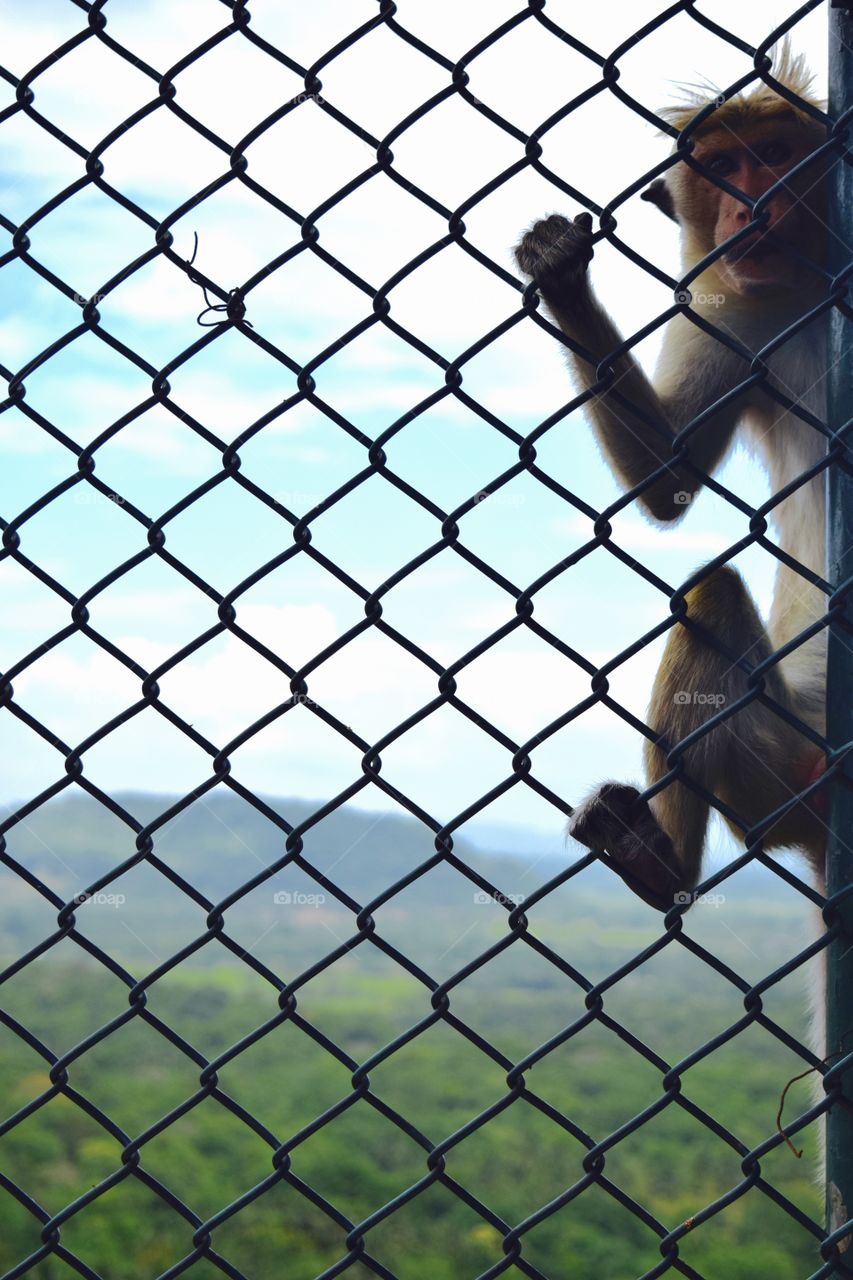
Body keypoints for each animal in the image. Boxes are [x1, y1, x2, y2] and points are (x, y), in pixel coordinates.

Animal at [514, 48, 832, 914]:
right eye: (720, 168)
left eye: (771, 156)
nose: (743, 208)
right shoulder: (730, 311)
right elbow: (671, 476)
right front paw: (560, 277)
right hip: (772, 752)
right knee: (709, 596)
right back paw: (659, 866)